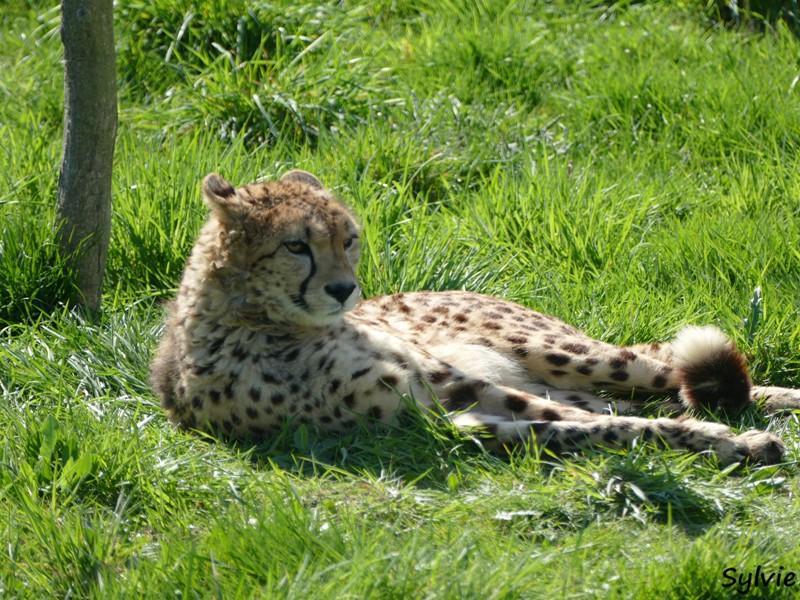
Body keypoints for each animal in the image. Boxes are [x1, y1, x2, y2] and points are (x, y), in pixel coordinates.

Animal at [152, 171, 800, 466]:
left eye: (348, 239)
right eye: (296, 246)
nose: (343, 289)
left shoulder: (445, 381)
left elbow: (589, 420)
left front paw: (724, 439)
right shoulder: (436, 418)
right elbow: (582, 427)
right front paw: (720, 440)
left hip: (564, 353)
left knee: (664, 373)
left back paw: (779, 402)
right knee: (641, 398)